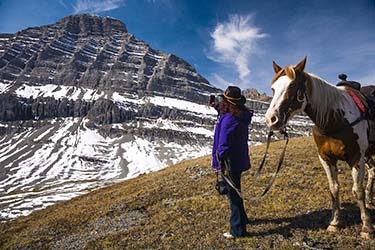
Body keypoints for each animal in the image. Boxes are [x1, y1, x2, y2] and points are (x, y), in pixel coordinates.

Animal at [264, 57, 375, 240]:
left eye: (292, 86)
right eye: (273, 88)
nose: (271, 119)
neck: (334, 118)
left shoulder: (356, 157)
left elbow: (357, 191)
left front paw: (367, 227)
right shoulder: (325, 158)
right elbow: (334, 188)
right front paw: (334, 223)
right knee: (373, 171)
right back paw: (371, 199)